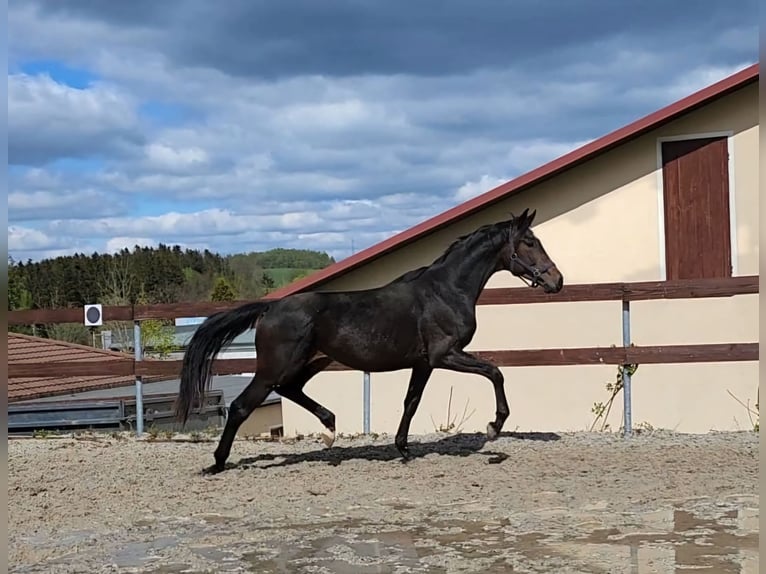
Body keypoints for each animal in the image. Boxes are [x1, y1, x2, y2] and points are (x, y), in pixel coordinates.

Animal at [174, 209, 564, 474]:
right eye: (530, 242)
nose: (557, 280)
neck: (446, 291)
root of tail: (269, 308)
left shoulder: (424, 363)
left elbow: (411, 402)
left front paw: (403, 449)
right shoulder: (446, 354)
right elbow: (495, 372)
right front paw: (494, 427)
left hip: (312, 361)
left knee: (291, 390)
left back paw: (330, 429)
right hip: (275, 367)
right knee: (243, 406)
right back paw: (217, 463)